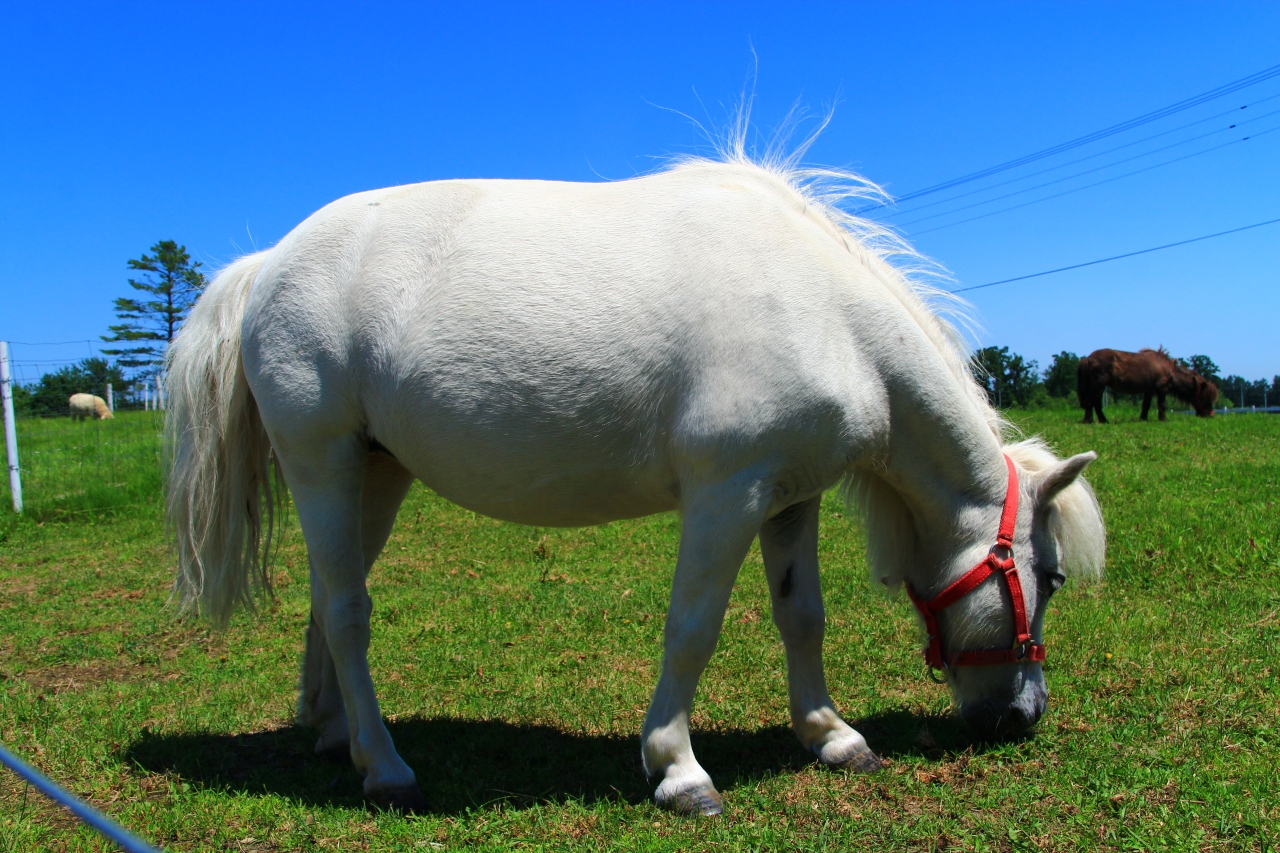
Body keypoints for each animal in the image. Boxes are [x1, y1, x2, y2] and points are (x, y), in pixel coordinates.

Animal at [166, 153, 1106, 816]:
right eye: (1052, 576)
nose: (1024, 715)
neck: (826, 314)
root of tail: (268, 262)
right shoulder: (728, 494)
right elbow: (692, 629)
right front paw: (678, 768)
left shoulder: (791, 496)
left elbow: (802, 616)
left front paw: (830, 734)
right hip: (319, 458)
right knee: (349, 611)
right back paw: (388, 767)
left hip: (375, 470)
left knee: (330, 598)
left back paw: (337, 736)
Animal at [1077, 348, 1217, 424]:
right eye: (1206, 397)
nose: (1211, 415)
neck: (1167, 369)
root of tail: (1088, 358)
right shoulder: (1161, 389)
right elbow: (1162, 405)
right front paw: (1163, 419)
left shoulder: (1149, 390)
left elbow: (1146, 405)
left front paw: (1143, 418)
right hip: (1098, 386)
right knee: (1091, 402)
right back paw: (1089, 420)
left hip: (1100, 387)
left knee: (1096, 404)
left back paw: (1104, 420)